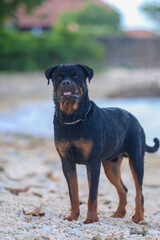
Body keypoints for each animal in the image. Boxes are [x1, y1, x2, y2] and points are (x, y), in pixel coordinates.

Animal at [44, 63, 159, 223]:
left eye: (75, 75)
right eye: (59, 76)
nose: (66, 83)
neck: (73, 118)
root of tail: (136, 121)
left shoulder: (93, 162)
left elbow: (92, 195)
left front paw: (91, 219)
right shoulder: (67, 162)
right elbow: (73, 193)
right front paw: (73, 216)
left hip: (136, 160)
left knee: (139, 191)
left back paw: (138, 217)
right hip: (111, 166)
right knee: (123, 189)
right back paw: (119, 213)